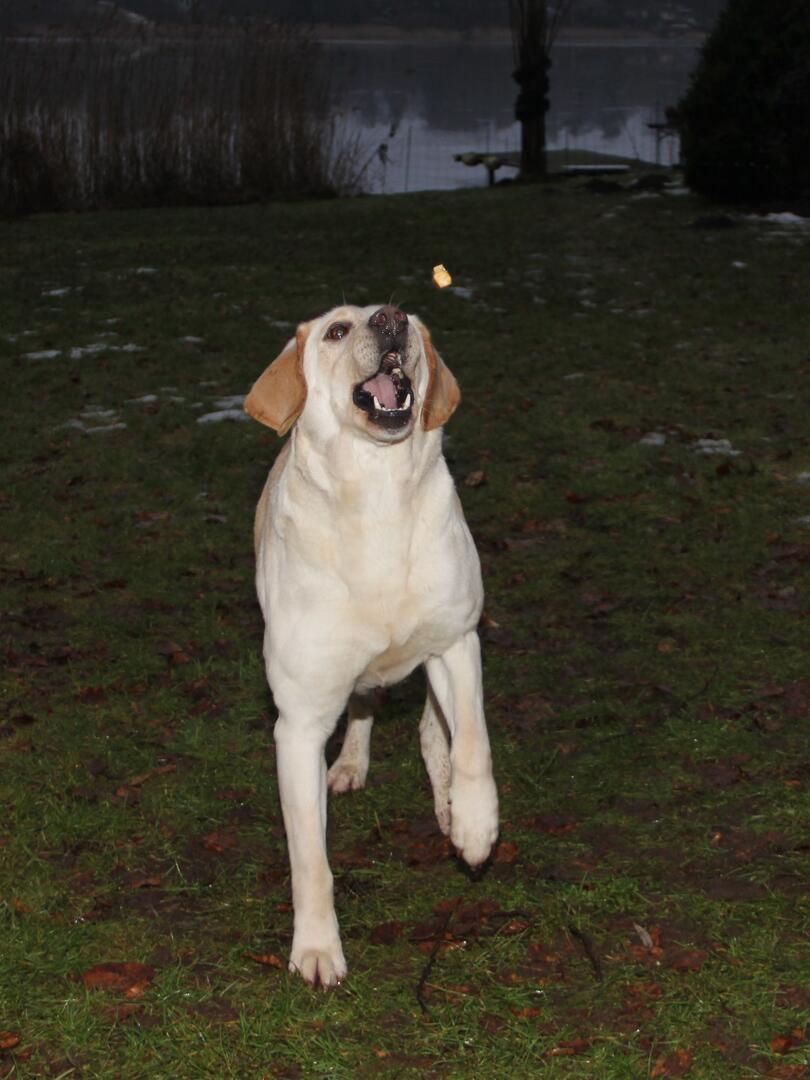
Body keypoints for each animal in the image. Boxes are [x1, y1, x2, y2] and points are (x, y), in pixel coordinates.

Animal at [244, 304, 498, 987]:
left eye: (408, 316)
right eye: (336, 331)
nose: (390, 320)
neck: (377, 497)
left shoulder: (456, 642)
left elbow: (472, 744)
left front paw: (475, 824)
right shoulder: (299, 724)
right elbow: (310, 858)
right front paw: (315, 947)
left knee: (431, 734)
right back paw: (352, 763)